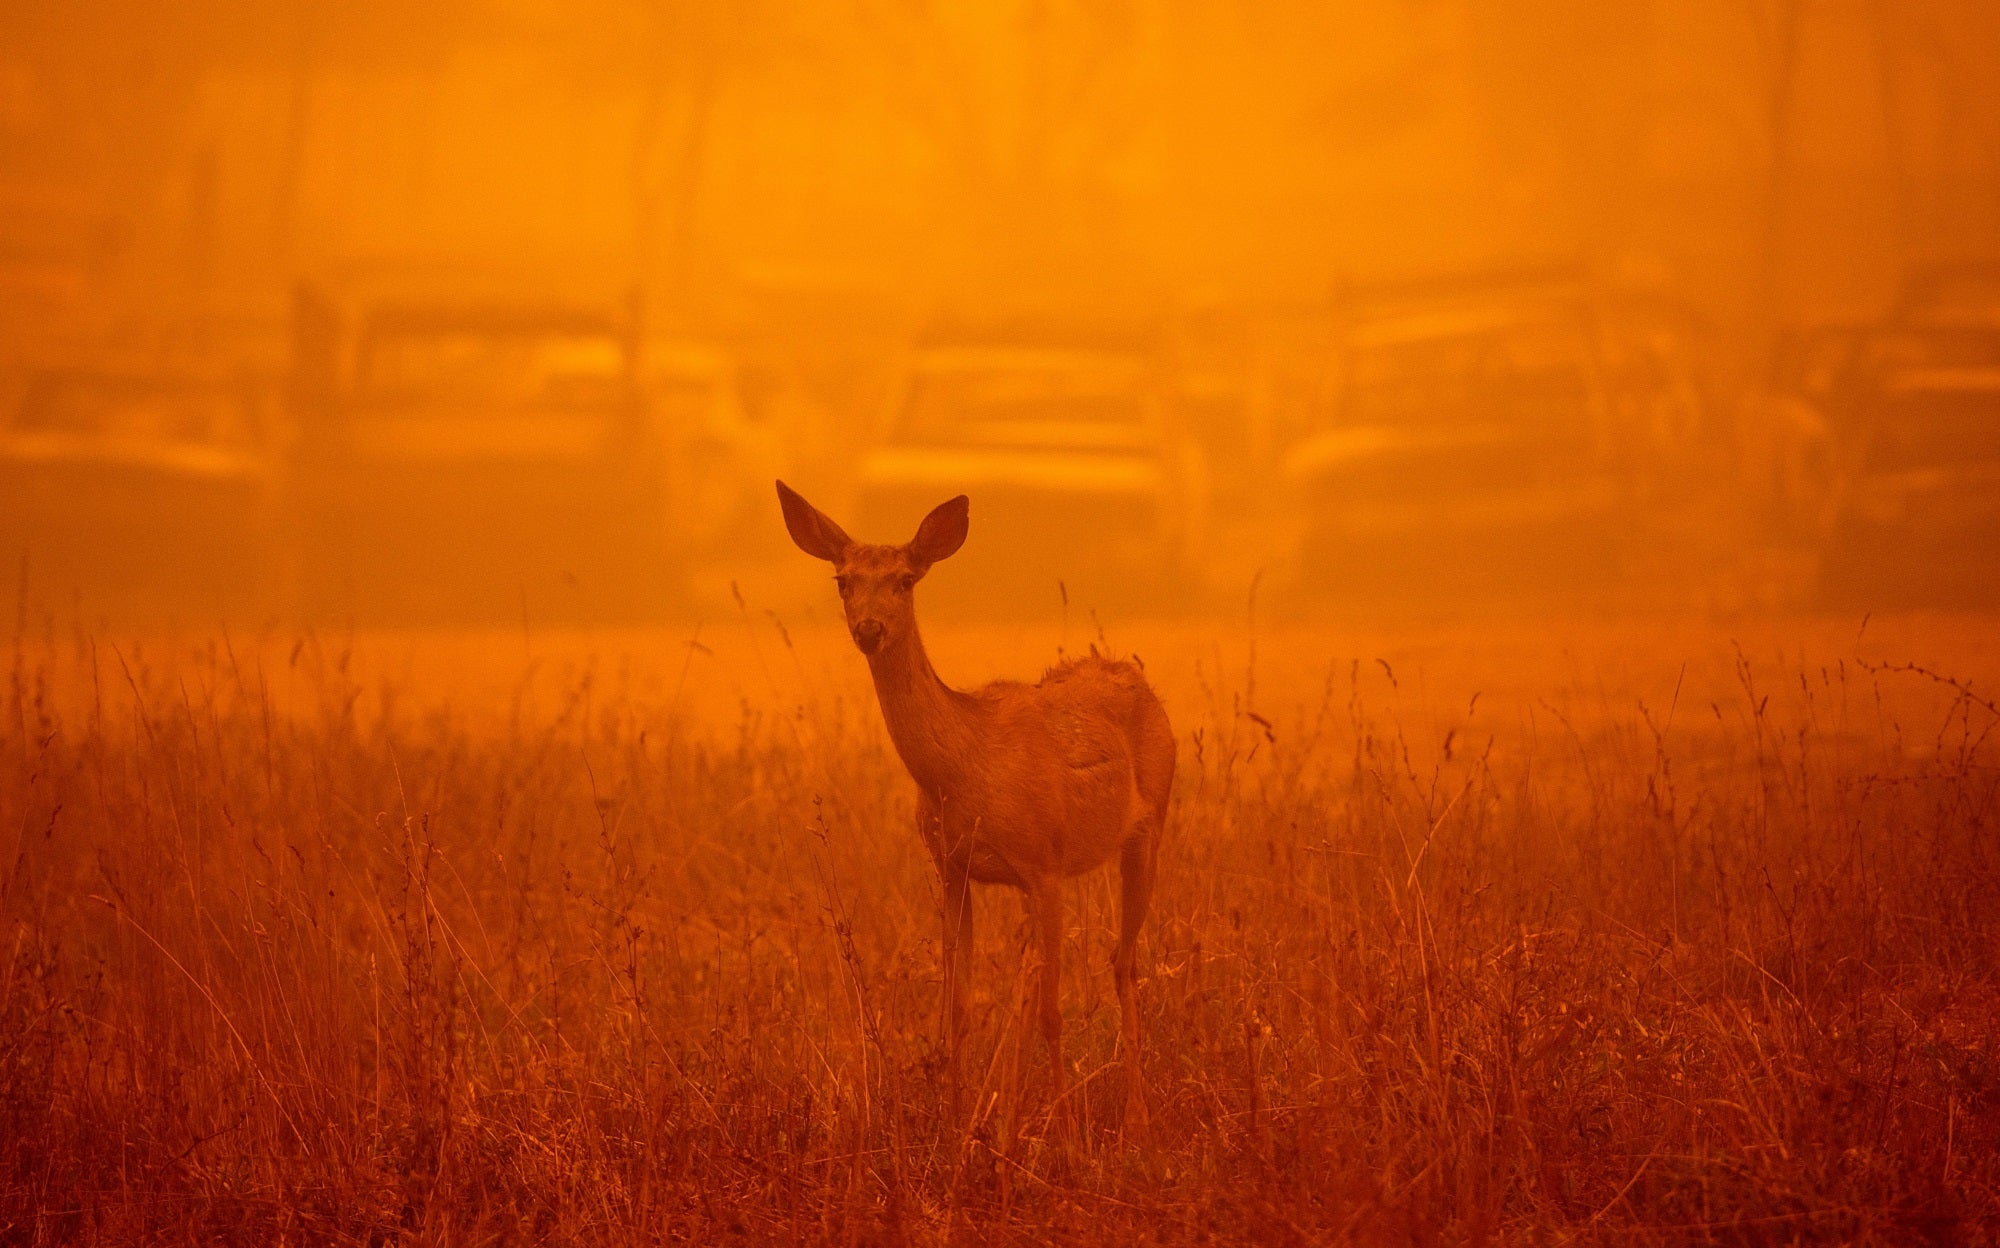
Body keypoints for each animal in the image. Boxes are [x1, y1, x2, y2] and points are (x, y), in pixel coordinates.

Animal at [768, 478, 1168, 1128]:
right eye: (842, 579)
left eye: (906, 578)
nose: (869, 630)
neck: (964, 771)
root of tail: (1138, 680)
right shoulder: (952, 866)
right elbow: (957, 1007)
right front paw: (957, 1121)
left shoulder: (1045, 865)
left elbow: (1052, 1011)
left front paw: (1065, 1131)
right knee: (1046, 979)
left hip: (1150, 826)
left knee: (1122, 961)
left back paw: (1135, 1115)